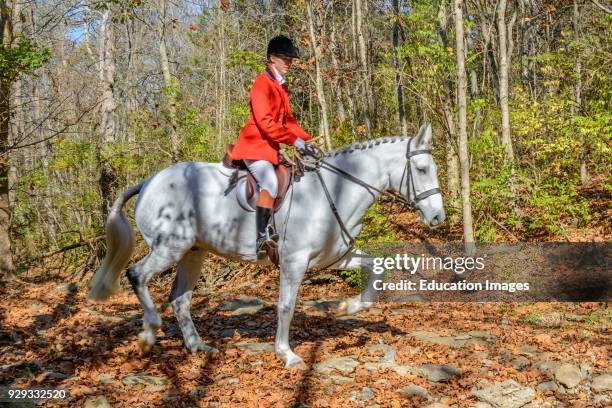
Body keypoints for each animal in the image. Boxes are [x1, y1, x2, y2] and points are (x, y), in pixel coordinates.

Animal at [88, 123, 442, 366]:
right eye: (422, 169)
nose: (438, 217)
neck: (335, 191)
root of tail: (149, 181)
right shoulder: (294, 262)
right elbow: (286, 306)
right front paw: (286, 354)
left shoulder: (336, 257)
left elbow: (376, 268)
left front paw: (350, 307)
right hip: (169, 247)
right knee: (137, 275)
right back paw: (149, 334)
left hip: (193, 253)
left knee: (180, 299)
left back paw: (198, 347)